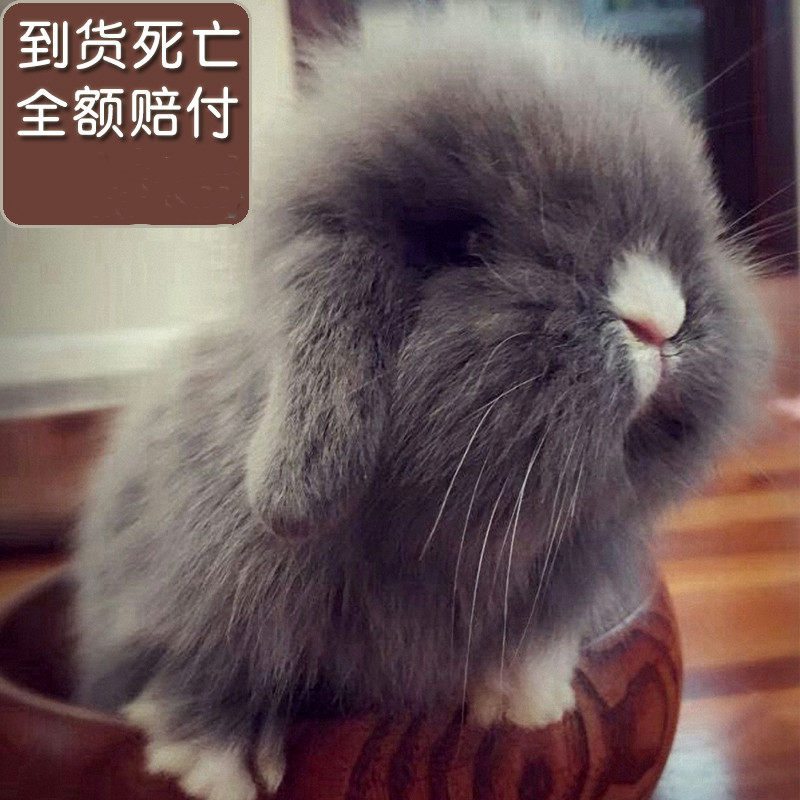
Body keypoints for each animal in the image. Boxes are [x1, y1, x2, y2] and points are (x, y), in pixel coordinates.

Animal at [74, 10, 771, 800]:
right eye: (464, 244)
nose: (660, 320)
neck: (434, 544)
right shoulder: (182, 613)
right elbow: (196, 674)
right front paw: (221, 765)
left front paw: (528, 704)